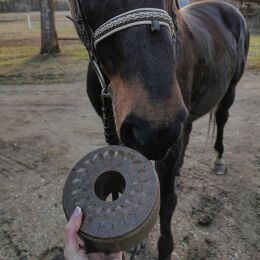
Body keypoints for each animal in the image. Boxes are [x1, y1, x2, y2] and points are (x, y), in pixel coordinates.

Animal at [69, 1, 250, 258]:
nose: (157, 128)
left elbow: (166, 201)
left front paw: (164, 247)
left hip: (229, 90)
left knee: (222, 119)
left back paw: (218, 160)